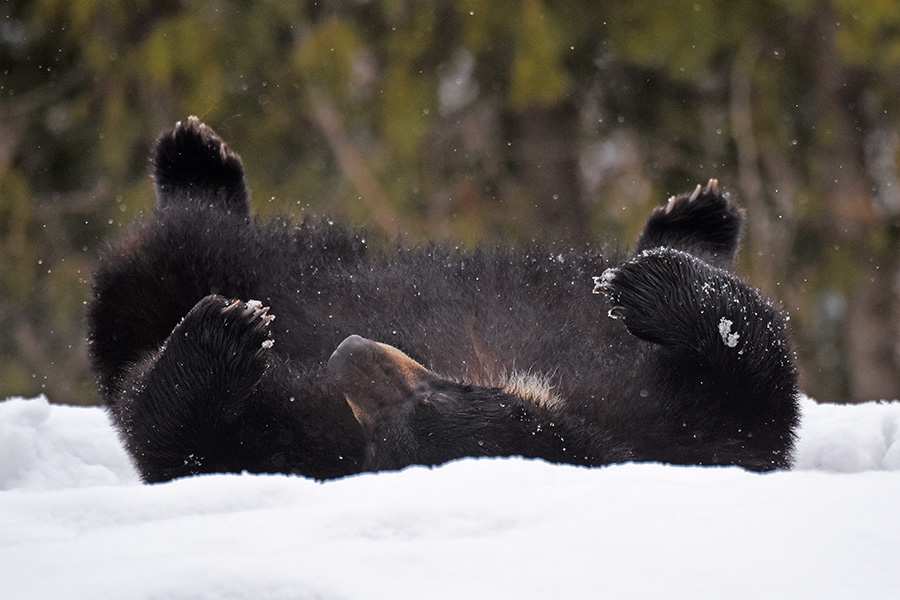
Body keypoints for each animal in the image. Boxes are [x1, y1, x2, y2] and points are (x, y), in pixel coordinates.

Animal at [88, 117, 800, 482]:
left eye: (428, 399)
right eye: (376, 427)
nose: (346, 351)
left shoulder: (677, 433)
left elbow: (754, 383)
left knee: (145, 273)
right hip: (275, 262)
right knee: (169, 255)